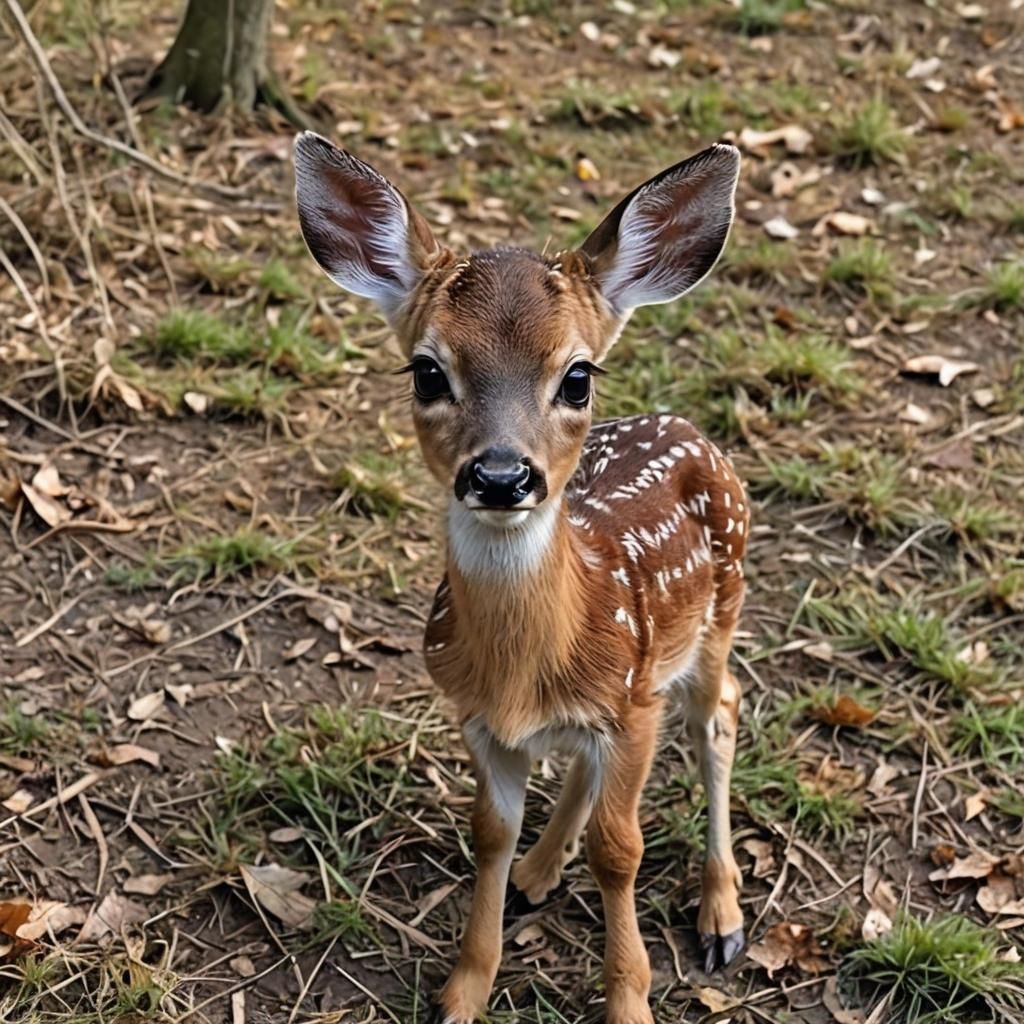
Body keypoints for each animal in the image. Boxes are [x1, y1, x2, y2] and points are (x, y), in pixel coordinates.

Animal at [294, 131, 749, 1024]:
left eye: (577, 376)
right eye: (427, 372)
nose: (501, 475)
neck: (524, 668)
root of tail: (688, 426)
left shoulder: (632, 701)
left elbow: (620, 848)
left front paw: (629, 1000)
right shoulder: (476, 715)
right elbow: (489, 833)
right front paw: (463, 990)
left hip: (718, 614)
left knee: (720, 715)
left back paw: (721, 913)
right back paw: (541, 871)